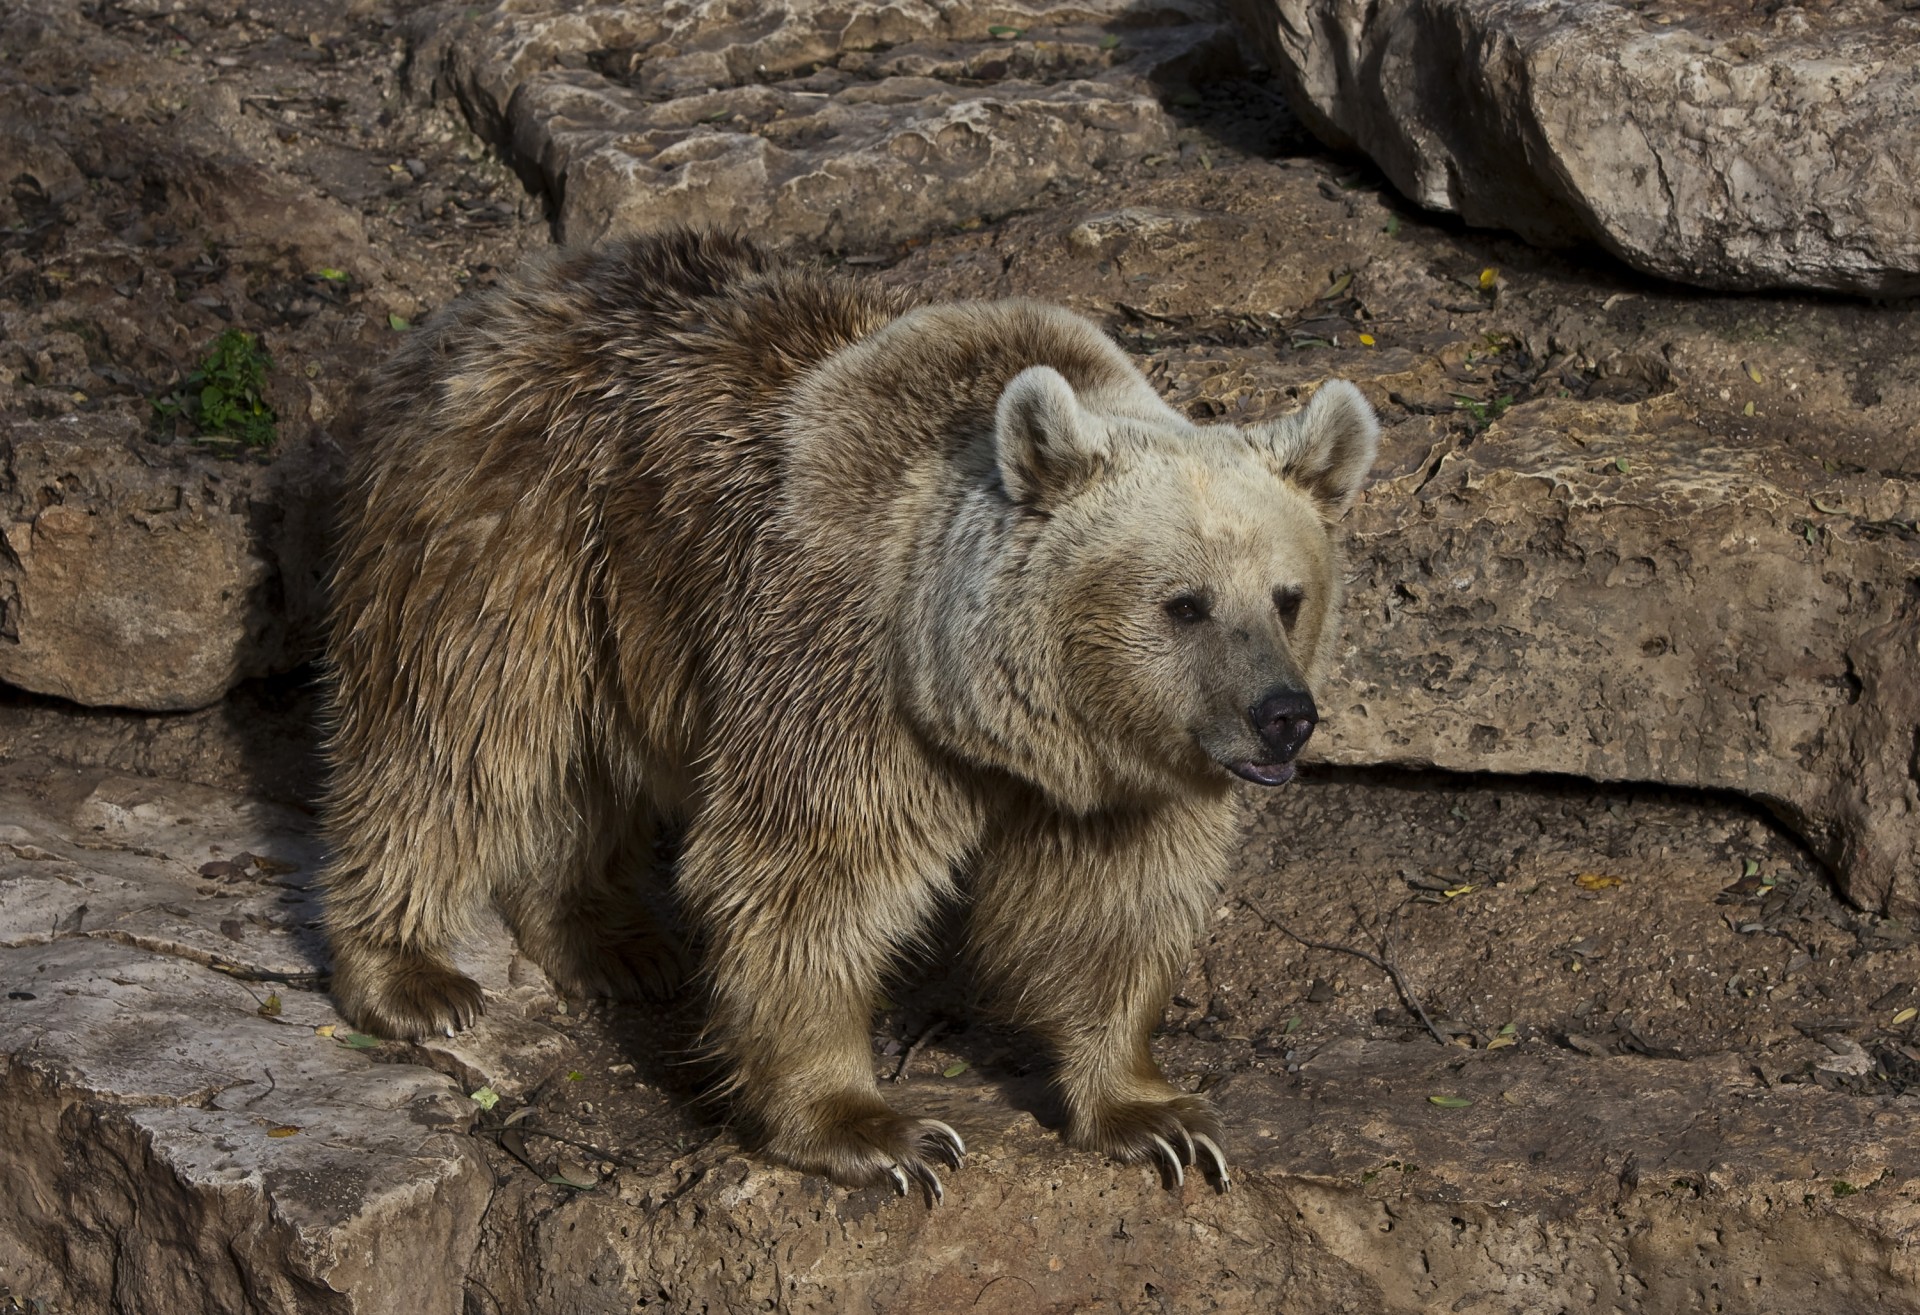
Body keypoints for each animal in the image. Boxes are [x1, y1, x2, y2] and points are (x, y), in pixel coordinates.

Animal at [314, 228, 1374, 1197]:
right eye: (1184, 602)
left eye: (1287, 596)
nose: (1282, 715)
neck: (996, 713)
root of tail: (498, 298)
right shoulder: (844, 669)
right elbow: (809, 876)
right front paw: (876, 1130)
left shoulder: (1118, 783)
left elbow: (1112, 905)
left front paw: (1157, 1115)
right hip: (514, 533)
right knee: (453, 736)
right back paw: (410, 973)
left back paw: (615, 942)